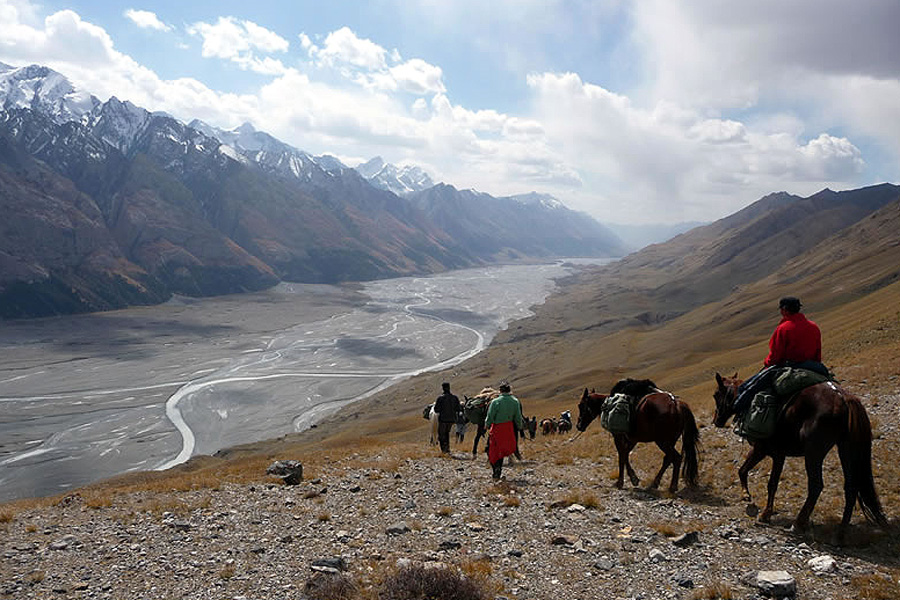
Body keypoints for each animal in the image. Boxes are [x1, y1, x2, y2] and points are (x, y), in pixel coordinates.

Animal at [576, 380, 704, 492]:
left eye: (581, 405)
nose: (578, 426)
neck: (607, 404)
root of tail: (677, 405)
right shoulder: (632, 439)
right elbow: (626, 454)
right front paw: (633, 479)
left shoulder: (618, 437)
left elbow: (622, 456)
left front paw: (621, 482)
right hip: (670, 441)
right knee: (668, 459)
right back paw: (654, 484)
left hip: (663, 441)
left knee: (676, 458)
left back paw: (672, 487)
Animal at [712, 370, 888, 540]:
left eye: (715, 395)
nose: (716, 421)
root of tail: (844, 397)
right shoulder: (778, 455)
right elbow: (762, 478)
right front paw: (753, 502)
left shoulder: (764, 450)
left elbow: (757, 477)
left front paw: (759, 509)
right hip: (846, 450)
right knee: (850, 488)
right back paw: (840, 534)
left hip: (814, 453)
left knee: (816, 486)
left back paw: (798, 524)